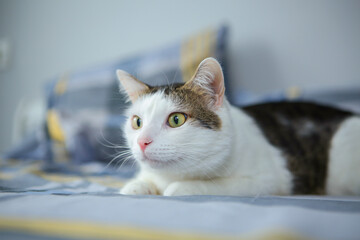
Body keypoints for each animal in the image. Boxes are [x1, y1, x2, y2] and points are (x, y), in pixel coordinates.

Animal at [116, 57, 360, 196]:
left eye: (176, 120)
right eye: (137, 122)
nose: (142, 142)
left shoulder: (266, 180)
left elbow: (203, 187)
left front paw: (179, 188)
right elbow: (136, 185)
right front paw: (137, 186)